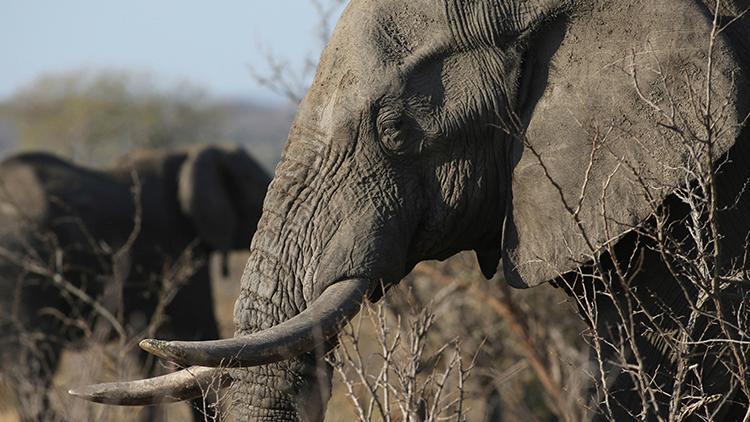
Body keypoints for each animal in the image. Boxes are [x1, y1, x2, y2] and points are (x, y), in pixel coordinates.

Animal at [0, 144, 270, 418]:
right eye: (256, 185)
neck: (187, 154)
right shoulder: (176, 246)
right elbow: (195, 330)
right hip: (20, 262)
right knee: (31, 365)